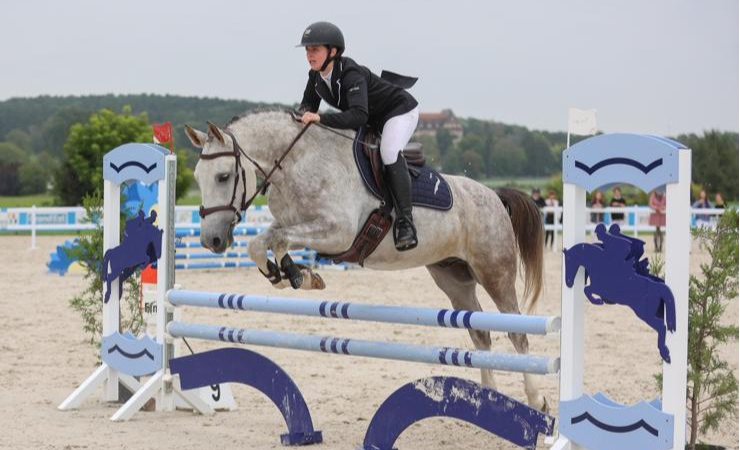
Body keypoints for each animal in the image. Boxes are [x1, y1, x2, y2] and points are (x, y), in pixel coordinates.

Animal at [184, 109, 547, 410]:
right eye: (198, 177)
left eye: (222, 176)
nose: (211, 241)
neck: (299, 163)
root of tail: (494, 195)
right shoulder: (293, 225)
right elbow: (265, 242)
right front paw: (293, 275)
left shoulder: (338, 232)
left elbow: (272, 239)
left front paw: (294, 274)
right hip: (453, 278)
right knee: (480, 332)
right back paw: (487, 398)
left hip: (494, 271)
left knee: (517, 332)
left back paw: (536, 400)